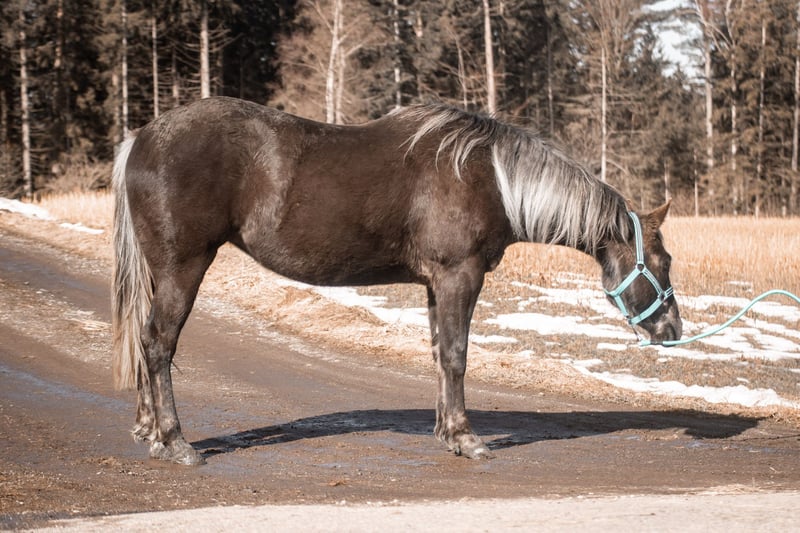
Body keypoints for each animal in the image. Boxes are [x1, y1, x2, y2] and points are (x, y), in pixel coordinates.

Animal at [111, 96, 682, 465]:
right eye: (662, 260)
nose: (673, 330)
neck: (491, 179)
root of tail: (141, 138)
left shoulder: (436, 284)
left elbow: (438, 354)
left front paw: (447, 432)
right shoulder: (459, 277)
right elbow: (456, 354)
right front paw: (467, 439)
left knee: (144, 339)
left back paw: (147, 430)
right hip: (184, 267)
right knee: (158, 343)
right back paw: (174, 441)